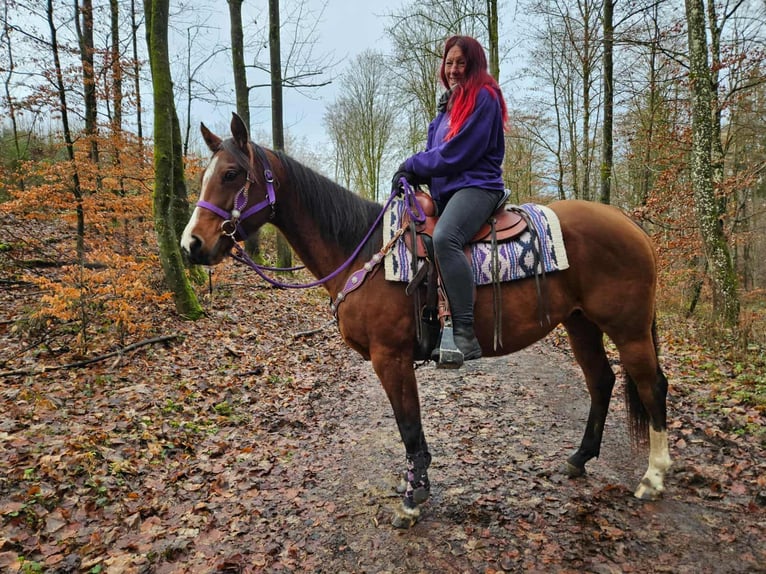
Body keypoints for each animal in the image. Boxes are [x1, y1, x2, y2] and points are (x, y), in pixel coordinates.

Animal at [181, 113, 671, 528]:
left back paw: (653, 478)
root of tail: (632, 226)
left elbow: (409, 426)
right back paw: (580, 459)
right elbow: (408, 429)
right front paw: (414, 485)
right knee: (602, 381)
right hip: (580, 324)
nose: (192, 245)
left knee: (652, 387)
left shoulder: (391, 358)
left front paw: (413, 499)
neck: (364, 252)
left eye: (231, 174)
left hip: (627, 330)